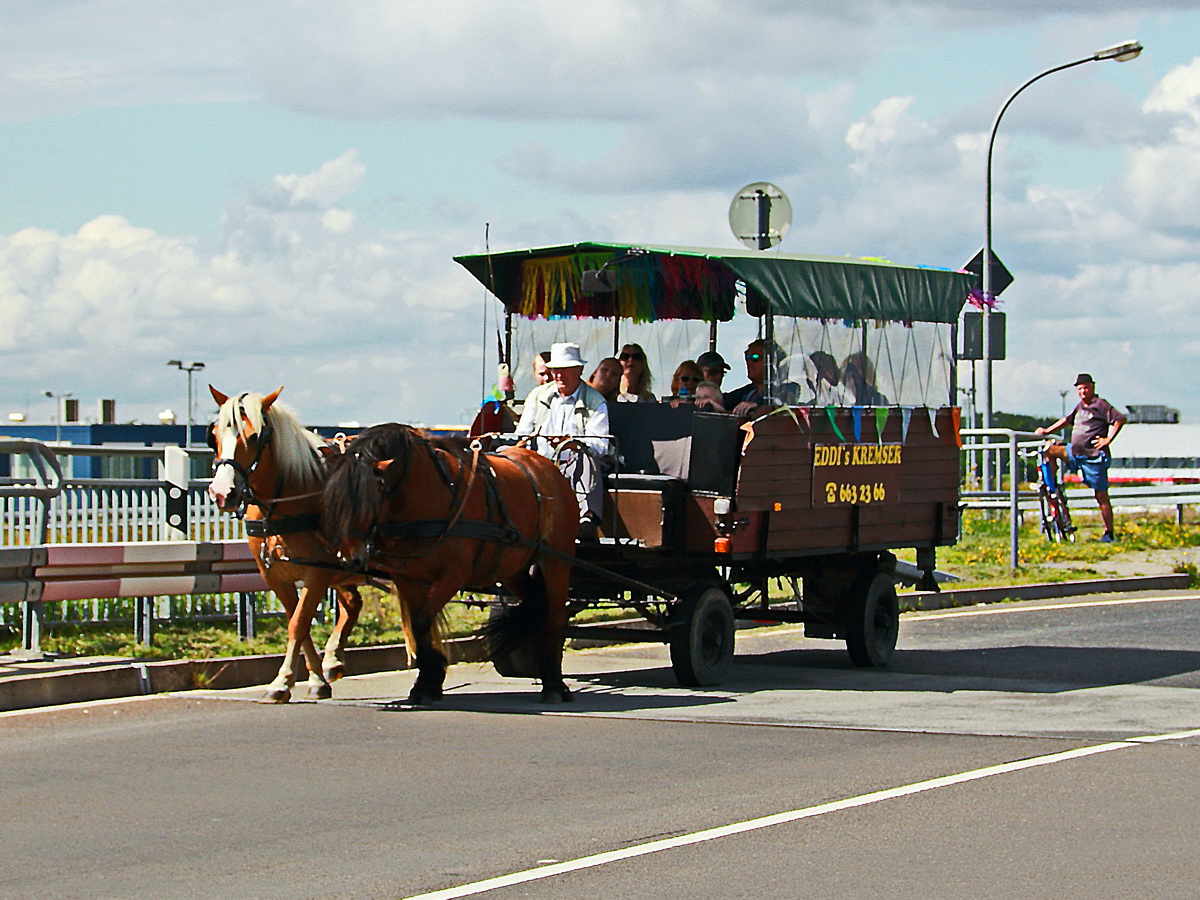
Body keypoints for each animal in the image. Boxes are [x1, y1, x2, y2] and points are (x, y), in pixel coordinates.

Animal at [208, 388, 364, 705]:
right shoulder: (274, 576)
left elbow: (298, 624)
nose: (222, 493)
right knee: (353, 604)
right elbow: (297, 623)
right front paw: (313, 679)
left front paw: (282, 681)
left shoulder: (317, 573)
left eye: (254, 437)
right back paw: (334, 660)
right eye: (214, 434)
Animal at [319, 422, 580, 705]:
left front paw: (432, 675)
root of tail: (547, 467)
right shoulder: (408, 577)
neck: (427, 492)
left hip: (556, 561)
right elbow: (418, 625)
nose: (350, 558)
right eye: (334, 500)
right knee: (536, 604)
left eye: (368, 501)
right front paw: (426, 682)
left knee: (555, 617)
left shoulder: (454, 574)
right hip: (515, 568)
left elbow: (423, 620)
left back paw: (554, 684)